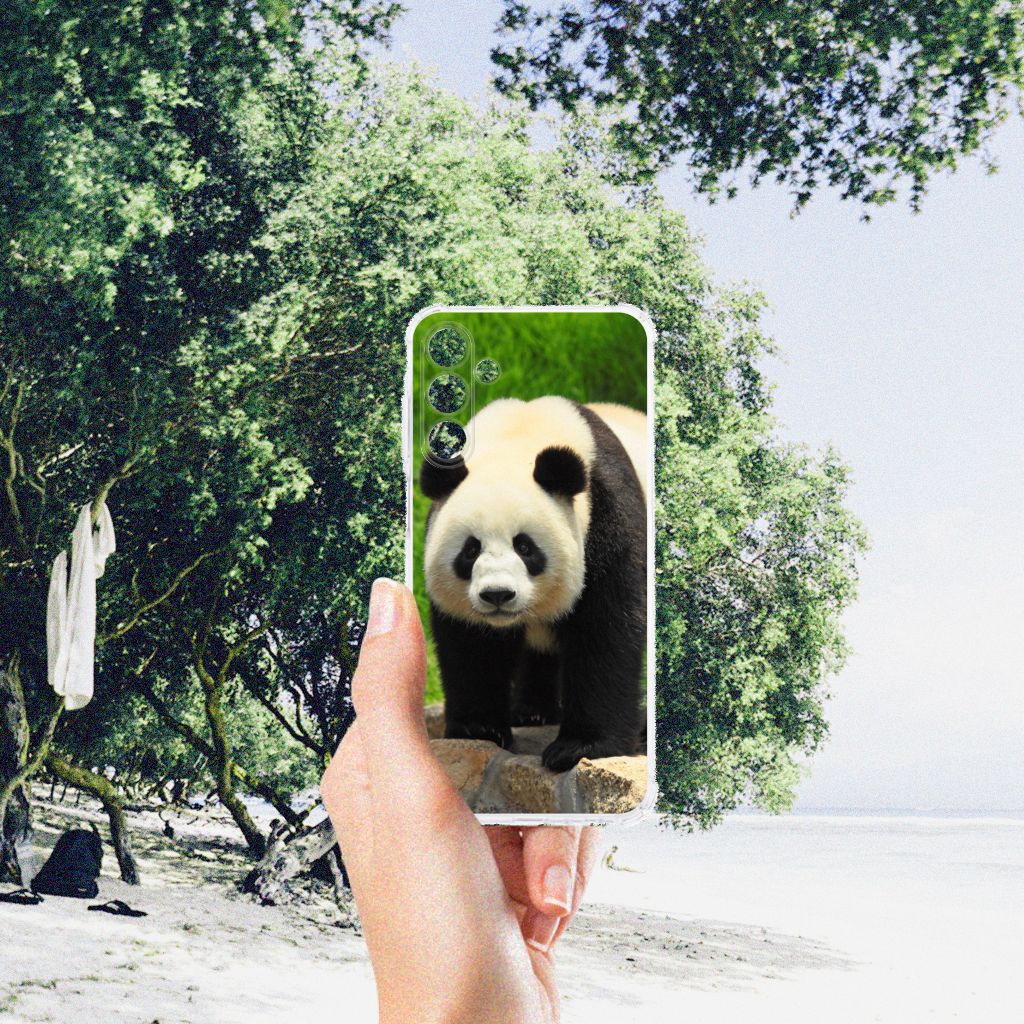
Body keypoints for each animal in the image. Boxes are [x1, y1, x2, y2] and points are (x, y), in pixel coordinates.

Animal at [420, 395, 647, 772]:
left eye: (525, 547)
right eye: (470, 549)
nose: (497, 594)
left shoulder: (608, 517)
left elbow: (606, 630)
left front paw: (579, 747)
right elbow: (472, 644)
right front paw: (479, 728)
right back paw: (532, 711)